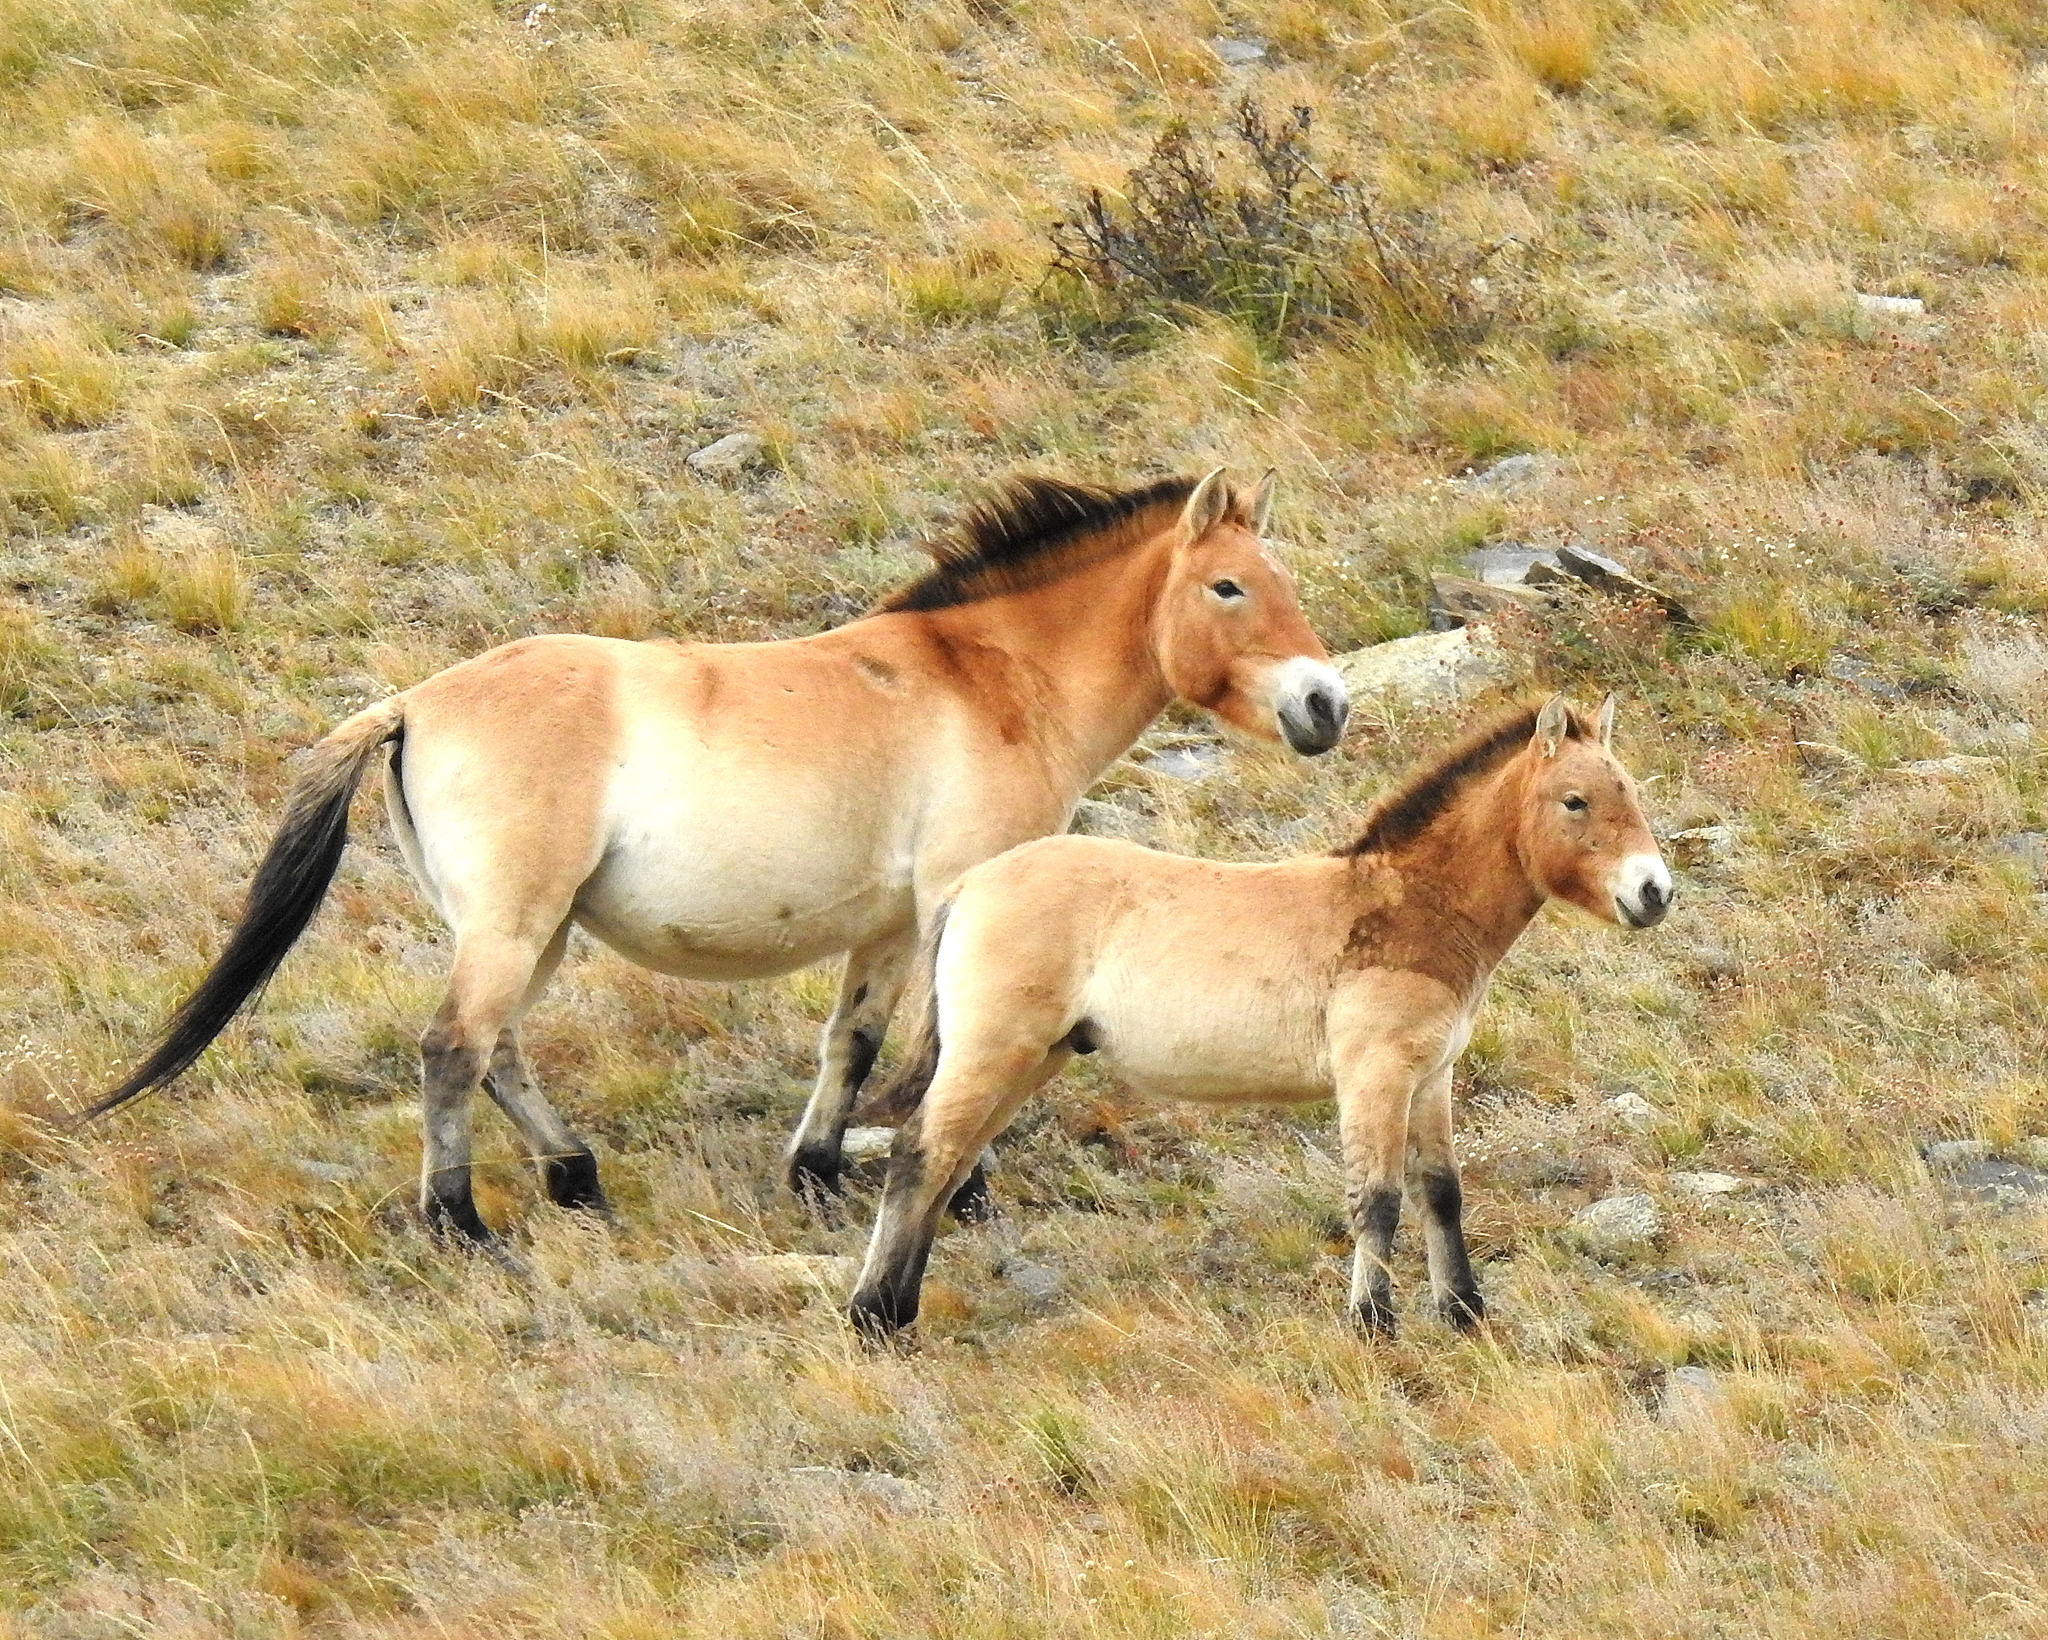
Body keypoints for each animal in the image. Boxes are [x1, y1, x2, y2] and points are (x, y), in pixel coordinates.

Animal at [96, 466, 1351, 1244]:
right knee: (454, 1047)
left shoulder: (889, 922)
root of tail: (412, 702)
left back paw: (576, 1177)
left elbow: (852, 1044)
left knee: (496, 1049)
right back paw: (463, 1223)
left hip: (532, 929)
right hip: (515, 922)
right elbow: (945, 1053)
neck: (986, 676)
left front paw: (815, 1169)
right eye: (1228, 585)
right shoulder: (956, 900)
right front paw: (961, 1193)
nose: (1324, 704)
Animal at [847, 696, 1662, 1334]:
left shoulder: (1432, 1077)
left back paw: (898, 1307)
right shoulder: (1374, 1077)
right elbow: (1377, 1200)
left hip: (1031, 1057)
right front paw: (1373, 1324)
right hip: (993, 1050)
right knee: (921, 1154)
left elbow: (1441, 1193)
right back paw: (873, 1316)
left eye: (1630, 791)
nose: (1654, 892)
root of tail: (973, 884)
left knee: (951, 1162)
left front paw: (1464, 1313)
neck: (1407, 906)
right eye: (1576, 800)